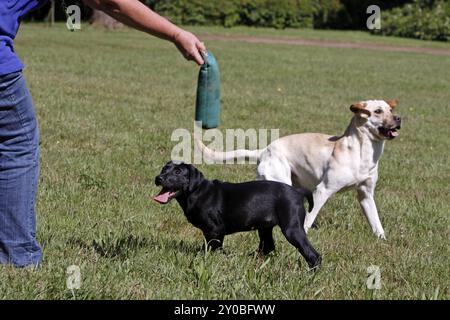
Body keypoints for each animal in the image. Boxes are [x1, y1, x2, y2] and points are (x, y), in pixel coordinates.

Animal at [153, 161, 322, 268]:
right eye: (163, 169)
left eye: (178, 172)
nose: (158, 178)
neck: (196, 192)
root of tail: (298, 192)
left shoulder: (214, 231)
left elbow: (211, 249)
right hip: (265, 228)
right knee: (268, 247)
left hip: (292, 229)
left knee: (314, 255)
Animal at [199, 99, 402, 239]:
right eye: (377, 111)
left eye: (391, 109)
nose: (399, 118)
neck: (362, 152)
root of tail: (264, 150)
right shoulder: (323, 190)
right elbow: (309, 218)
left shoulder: (366, 194)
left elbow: (376, 221)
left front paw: (382, 239)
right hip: (281, 182)